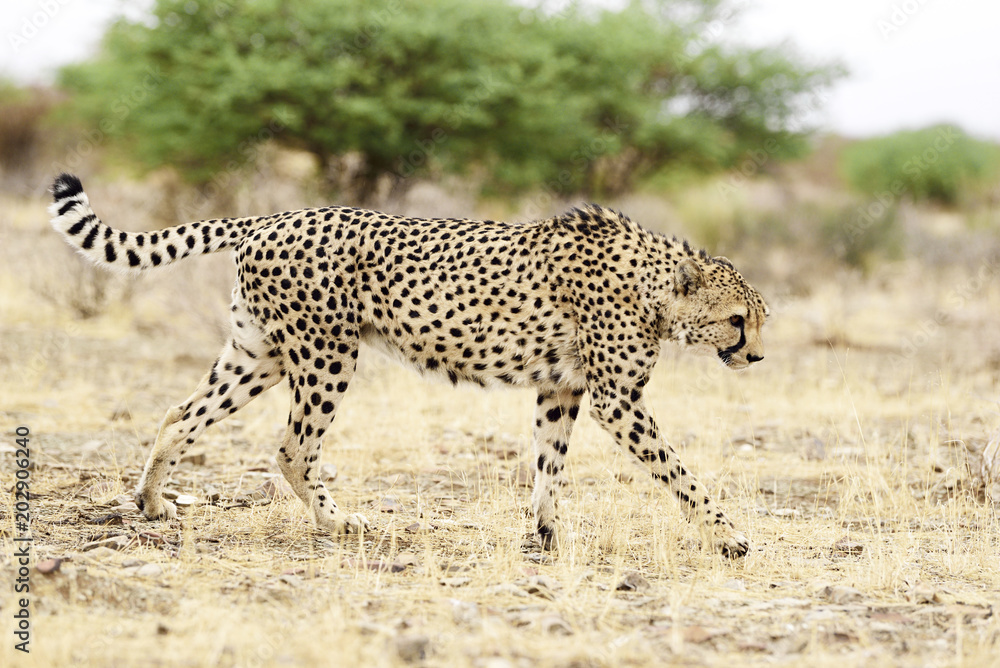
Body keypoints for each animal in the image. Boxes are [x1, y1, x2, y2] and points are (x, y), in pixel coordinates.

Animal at [50, 173, 767, 557]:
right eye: (739, 319)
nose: (756, 355)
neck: (659, 286)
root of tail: (270, 216)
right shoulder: (618, 400)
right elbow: (678, 471)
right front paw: (727, 535)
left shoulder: (559, 388)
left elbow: (549, 463)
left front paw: (543, 534)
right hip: (326, 354)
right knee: (292, 448)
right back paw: (339, 522)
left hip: (259, 354)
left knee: (180, 414)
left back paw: (151, 503)